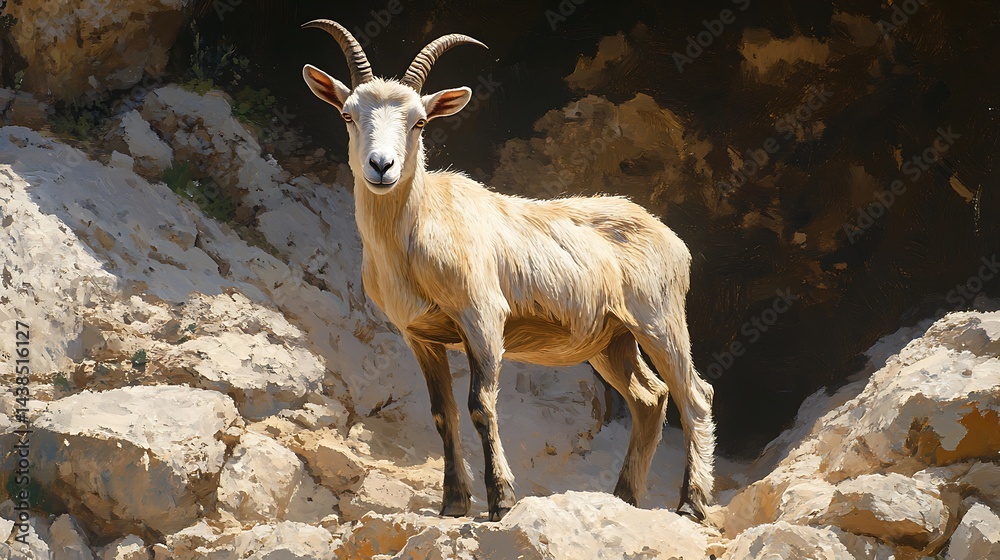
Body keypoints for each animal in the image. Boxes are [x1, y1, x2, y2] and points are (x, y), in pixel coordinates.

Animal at [301, 20, 716, 522]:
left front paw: (501, 499)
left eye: (420, 121)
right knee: (649, 398)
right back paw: (625, 498)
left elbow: (480, 405)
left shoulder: (483, 317)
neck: (420, 233)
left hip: (659, 319)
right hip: (611, 337)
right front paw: (453, 503)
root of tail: (674, 241)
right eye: (347, 114)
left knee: (695, 395)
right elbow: (442, 413)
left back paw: (691, 504)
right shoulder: (419, 335)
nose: (382, 166)